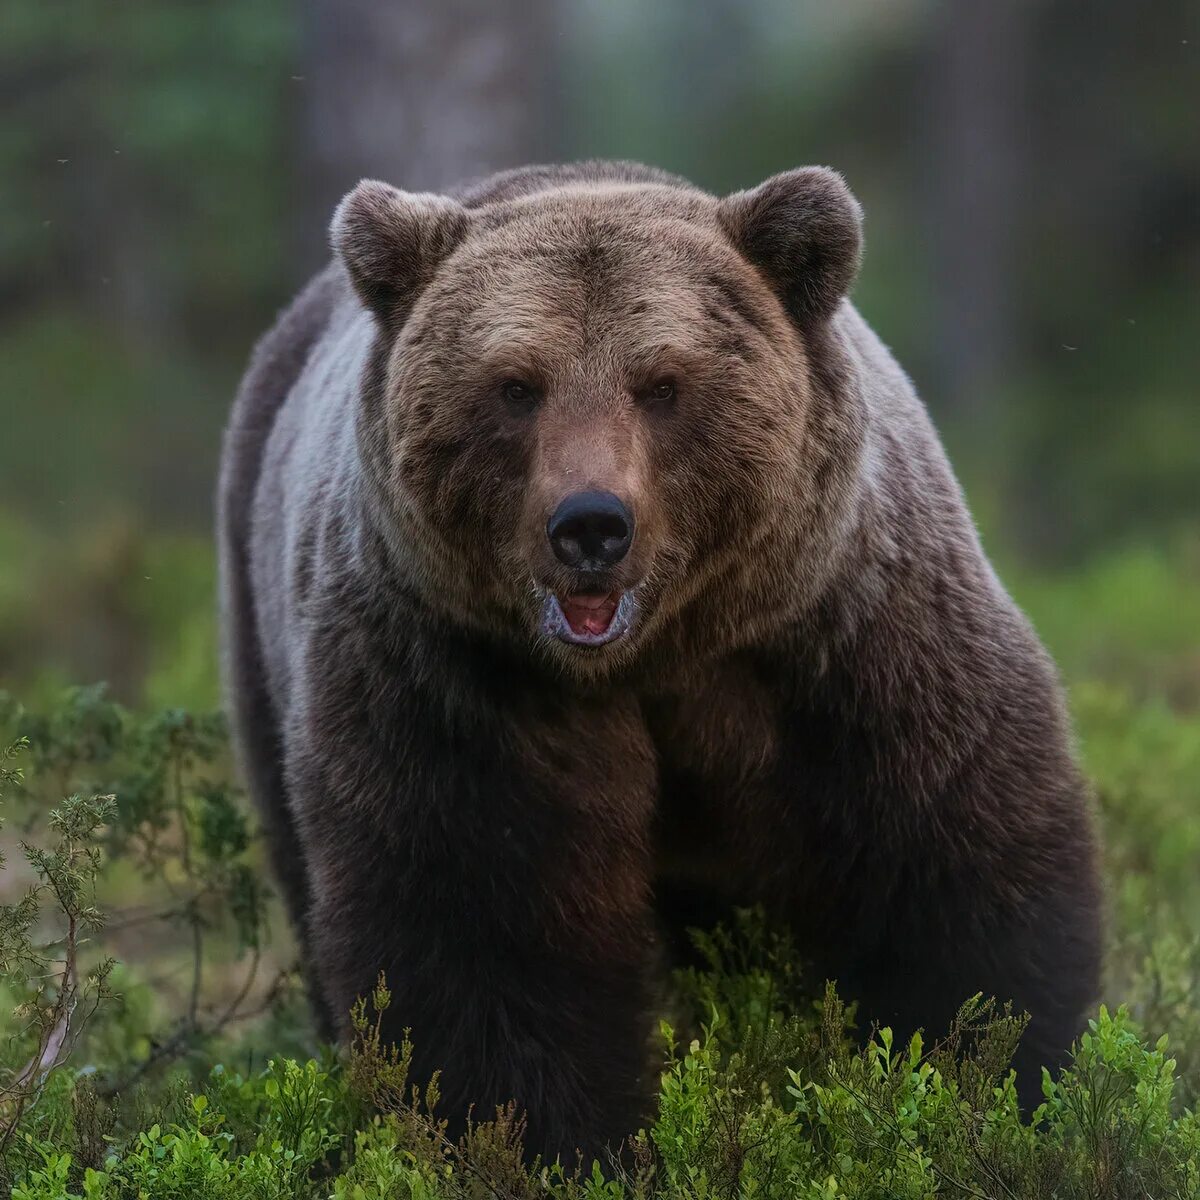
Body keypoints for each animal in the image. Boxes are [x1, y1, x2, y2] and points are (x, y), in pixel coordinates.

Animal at [218, 159, 1104, 1161]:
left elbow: (949, 873)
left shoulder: (847, 643)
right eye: (516, 385)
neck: (658, 657)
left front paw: (994, 1080)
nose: (590, 525)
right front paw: (553, 1139)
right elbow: (485, 929)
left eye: (662, 383)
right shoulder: (459, 678)